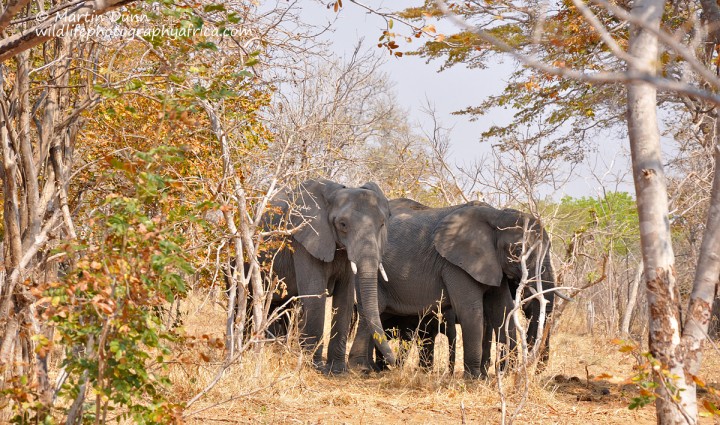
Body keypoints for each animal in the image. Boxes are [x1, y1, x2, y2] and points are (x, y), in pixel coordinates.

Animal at [236, 178, 394, 372]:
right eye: (342, 225)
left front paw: (337, 370)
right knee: (242, 303)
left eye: (382, 224)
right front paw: (316, 367)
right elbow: (315, 295)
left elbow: (345, 299)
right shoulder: (305, 239)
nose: (392, 362)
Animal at [348, 197, 556, 376]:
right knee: (373, 310)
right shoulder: (456, 264)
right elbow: (470, 310)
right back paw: (363, 369)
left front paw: (503, 376)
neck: (496, 215)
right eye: (518, 250)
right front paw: (474, 379)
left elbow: (501, 309)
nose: (526, 370)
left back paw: (370, 368)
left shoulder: (493, 264)